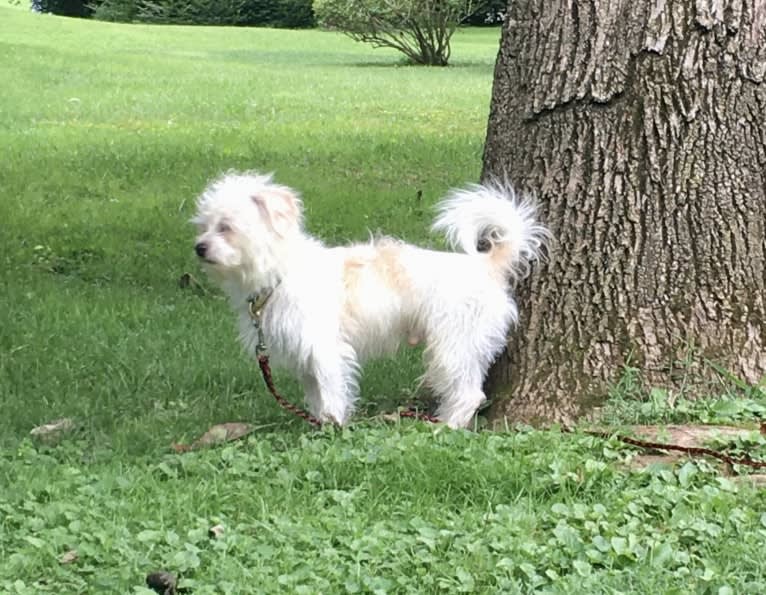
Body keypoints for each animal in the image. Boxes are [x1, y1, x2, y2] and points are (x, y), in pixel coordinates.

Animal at [195, 172, 548, 428]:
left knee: (471, 394)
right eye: (203, 226)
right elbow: (316, 395)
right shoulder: (305, 358)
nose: (199, 247)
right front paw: (317, 424)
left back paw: (446, 427)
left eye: (226, 227)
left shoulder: (325, 351)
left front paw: (333, 427)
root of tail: (487, 265)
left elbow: (332, 393)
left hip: (453, 345)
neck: (281, 271)